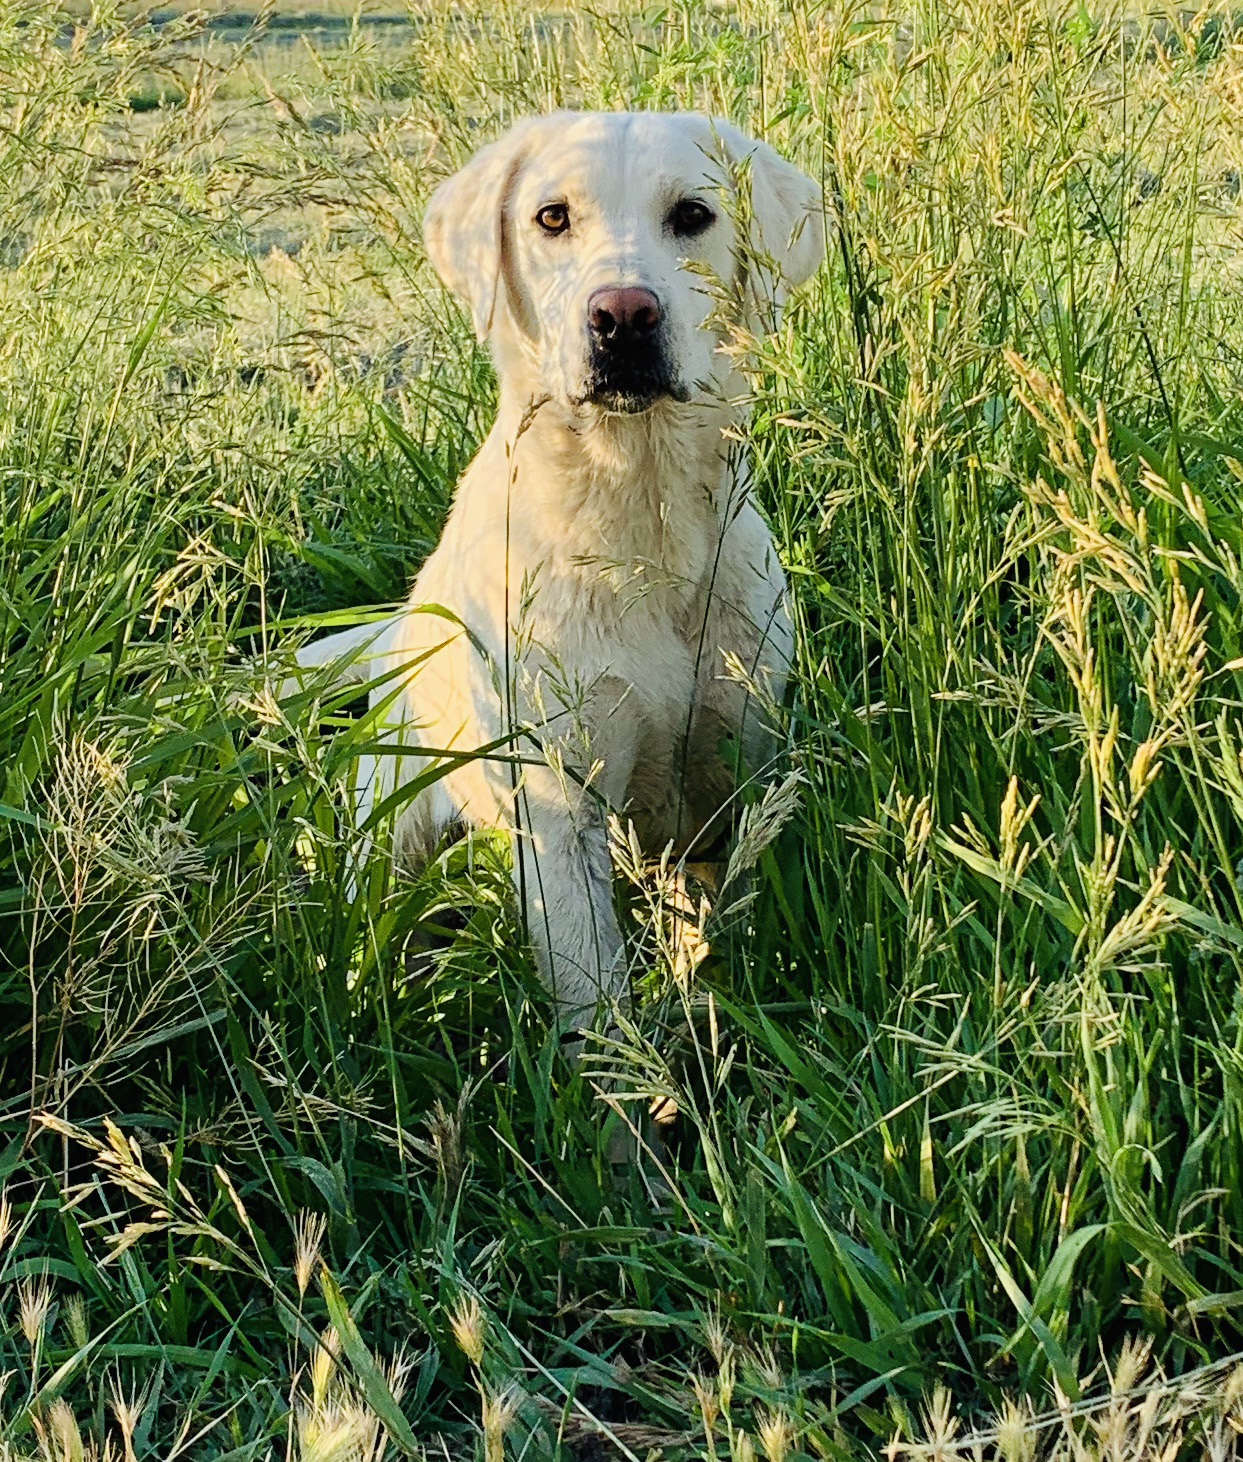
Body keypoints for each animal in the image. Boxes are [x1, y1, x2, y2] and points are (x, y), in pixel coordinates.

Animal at [286, 105, 818, 1029]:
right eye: (551, 217)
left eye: (693, 215)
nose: (624, 316)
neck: (637, 519)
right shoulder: (557, 804)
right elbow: (594, 1000)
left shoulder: (736, 773)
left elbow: (718, 937)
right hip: (392, 821)